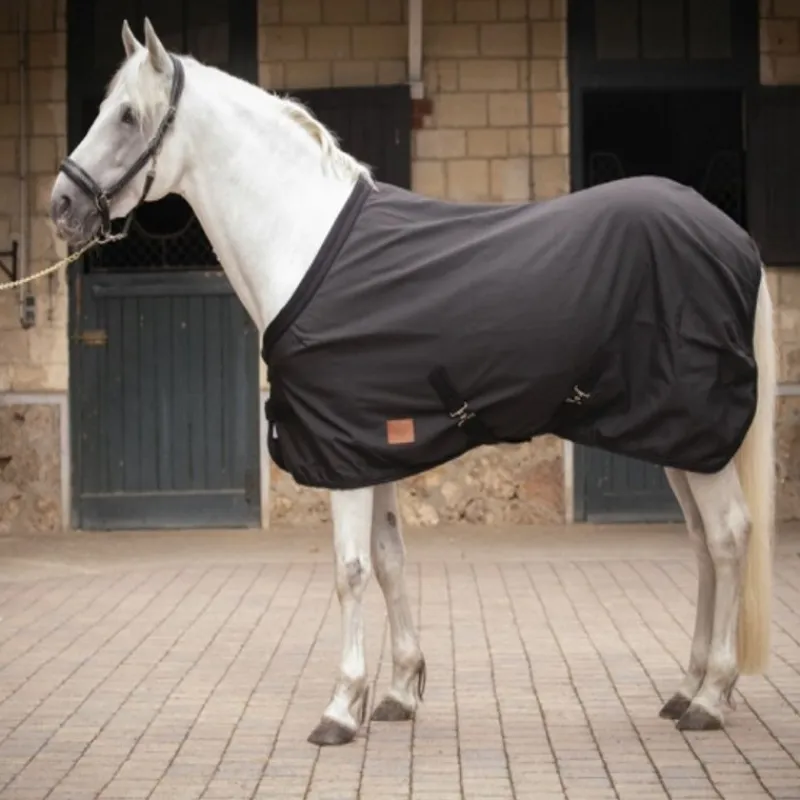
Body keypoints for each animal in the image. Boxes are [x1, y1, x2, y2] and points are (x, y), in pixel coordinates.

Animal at [50, 18, 776, 747]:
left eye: (127, 115)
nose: (61, 204)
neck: (305, 240)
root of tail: (736, 239)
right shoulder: (372, 448)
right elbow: (390, 558)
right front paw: (399, 690)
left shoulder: (343, 455)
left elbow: (350, 571)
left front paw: (342, 708)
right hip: (679, 442)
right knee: (702, 546)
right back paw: (686, 689)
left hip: (698, 438)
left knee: (729, 538)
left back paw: (711, 697)